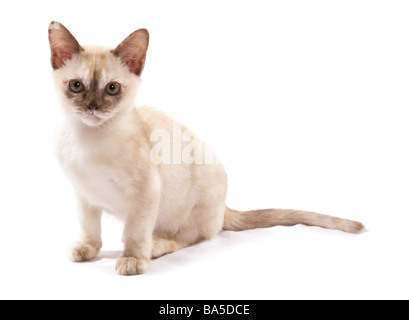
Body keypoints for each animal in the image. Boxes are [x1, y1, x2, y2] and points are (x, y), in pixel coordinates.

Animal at [47, 21, 364, 276]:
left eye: (112, 89)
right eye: (76, 86)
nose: (92, 107)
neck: (89, 138)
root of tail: (225, 206)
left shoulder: (145, 191)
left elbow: (136, 231)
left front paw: (133, 259)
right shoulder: (85, 194)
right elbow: (90, 228)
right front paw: (87, 249)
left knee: (190, 236)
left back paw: (155, 246)